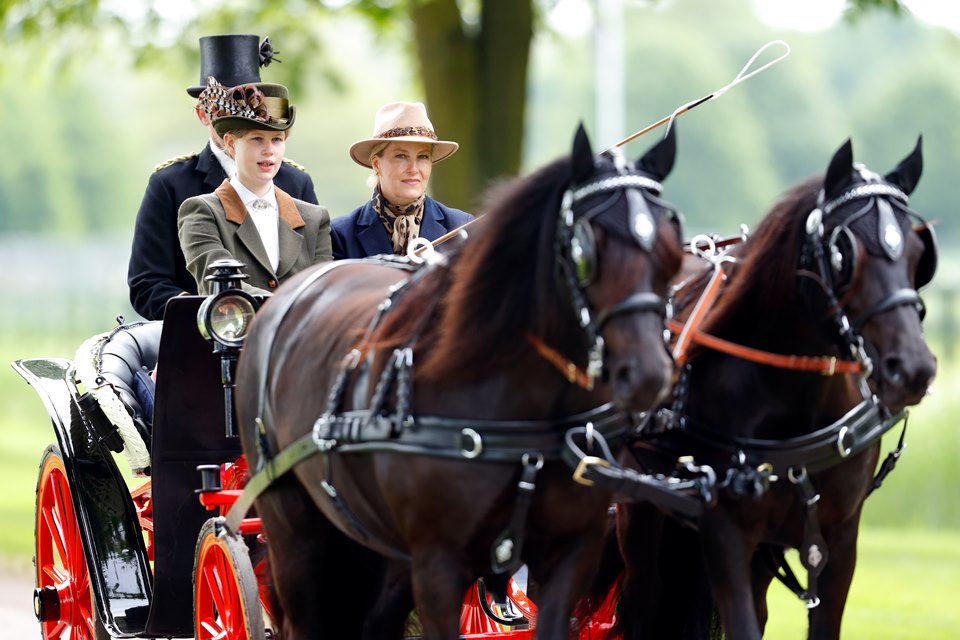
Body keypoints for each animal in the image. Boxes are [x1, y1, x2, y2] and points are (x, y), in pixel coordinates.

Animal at [235, 126, 688, 640]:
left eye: (673, 242)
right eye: (584, 251)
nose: (649, 373)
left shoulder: (572, 552)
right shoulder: (439, 563)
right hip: (291, 522)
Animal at [576, 138, 936, 636]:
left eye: (919, 255)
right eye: (843, 253)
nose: (913, 368)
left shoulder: (840, 537)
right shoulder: (724, 530)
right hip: (641, 514)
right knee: (644, 603)